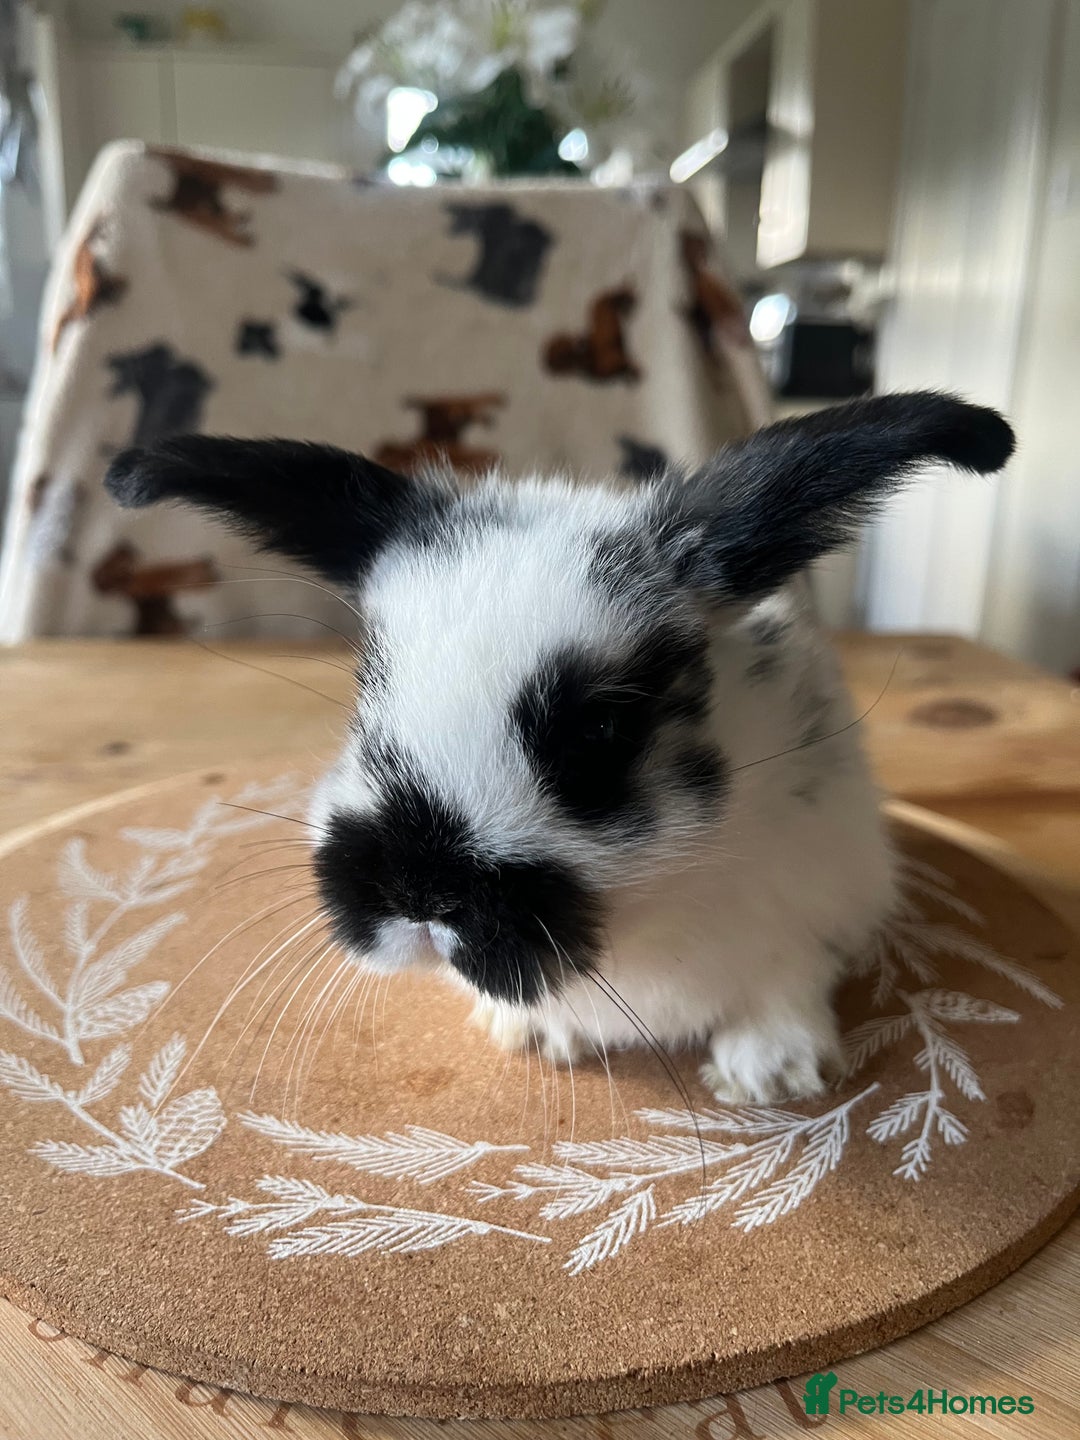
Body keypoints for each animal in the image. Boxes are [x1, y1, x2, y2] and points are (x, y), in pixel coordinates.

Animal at [104, 392, 1014, 1104]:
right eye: (369, 685)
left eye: (600, 730)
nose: (419, 894)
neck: (640, 918)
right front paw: (532, 1035)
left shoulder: (822, 890)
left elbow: (789, 976)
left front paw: (769, 1073)